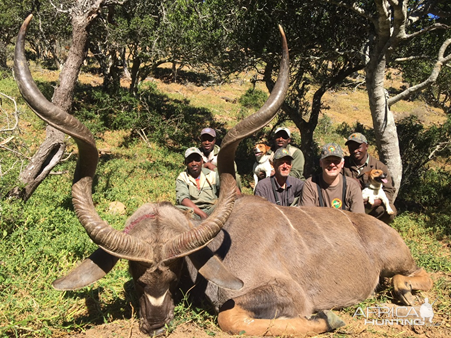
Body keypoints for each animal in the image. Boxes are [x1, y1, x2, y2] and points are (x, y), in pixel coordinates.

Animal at [14, 15, 432, 336]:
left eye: (173, 274)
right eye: (136, 276)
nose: (155, 324)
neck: (216, 249)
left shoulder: (286, 293)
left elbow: (231, 317)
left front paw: (329, 318)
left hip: (399, 260)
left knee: (417, 274)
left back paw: (406, 294)